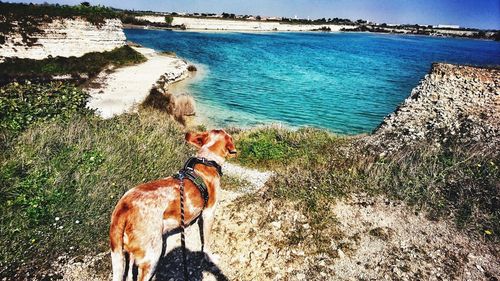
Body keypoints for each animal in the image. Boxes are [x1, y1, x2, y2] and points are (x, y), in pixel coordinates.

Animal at [109, 129, 236, 280]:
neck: (207, 160)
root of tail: (123, 207)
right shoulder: (208, 213)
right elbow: (206, 242)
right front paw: (209, 256)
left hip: (131, 252)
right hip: (152, 257)